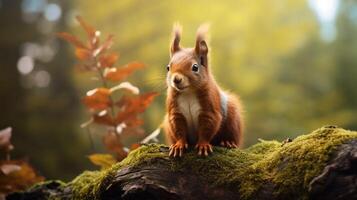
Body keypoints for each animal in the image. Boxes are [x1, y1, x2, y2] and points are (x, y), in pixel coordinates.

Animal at [163, 23, 243, 157]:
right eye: (168, 67)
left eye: (195, 67)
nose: (176, 79)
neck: (188, 92)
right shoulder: (175, 112)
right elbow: (179, 130)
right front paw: (179, 145)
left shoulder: (209, 109)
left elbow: (207, 128)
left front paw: (203, 145)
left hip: (233, 119)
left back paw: (228, 142)